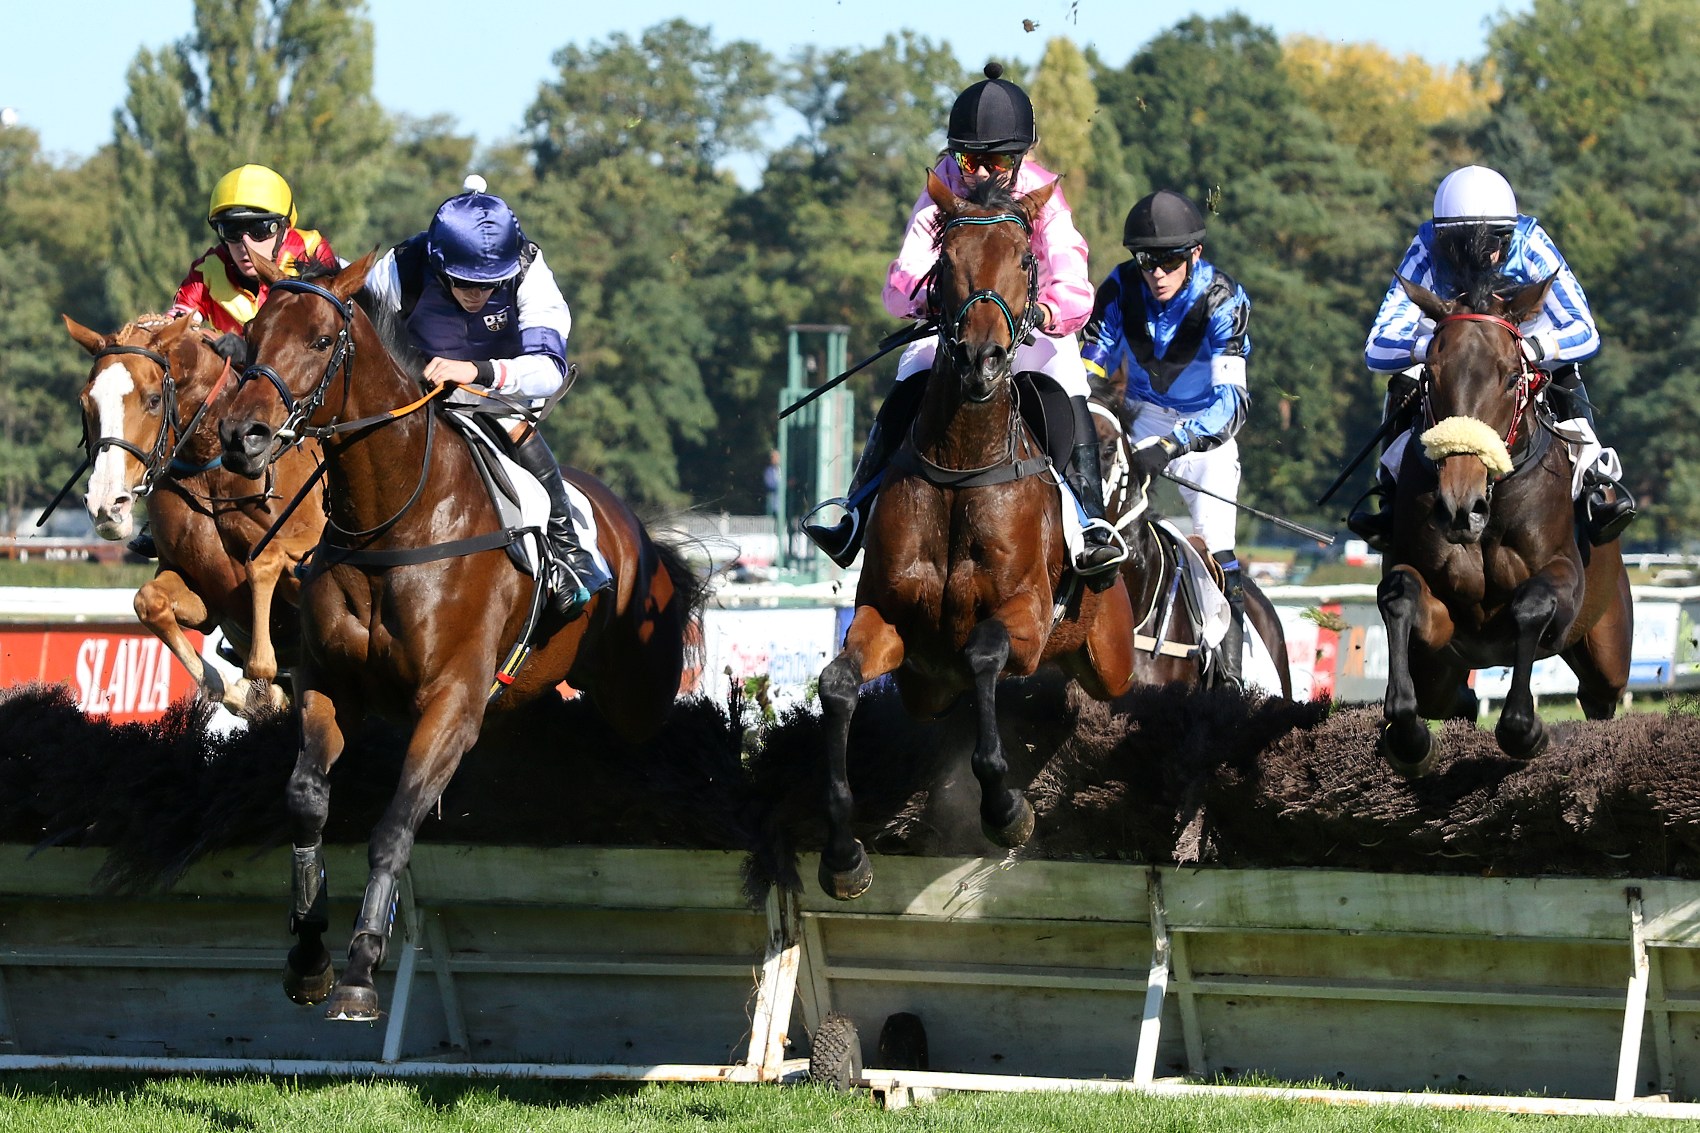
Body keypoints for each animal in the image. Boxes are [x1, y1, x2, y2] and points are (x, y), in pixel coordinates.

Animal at [62, 312, 326, 717]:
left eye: (154, 400)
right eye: (86, 403)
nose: (107, 504)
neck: (211, 465)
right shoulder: (209, 598)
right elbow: (149, 601)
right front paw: (228, 688)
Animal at [216, 253, 706, 1021]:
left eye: (323, 340)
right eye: (252, 337)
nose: (242, 437)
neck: (393, 521)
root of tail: (640, 535)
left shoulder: (452, 702)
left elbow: (393, 829)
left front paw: (361, 970)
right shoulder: (330, 687)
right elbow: (305, 802)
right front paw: (309, 954)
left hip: (635, 691)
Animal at [814, 172, 1142, 901]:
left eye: (1024, 260)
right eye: (945, 263)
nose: (980, 360)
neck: (962, 467)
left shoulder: (1026, 615)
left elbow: (987, 652)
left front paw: (1006, 808)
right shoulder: (889, 623)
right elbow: (838, 684)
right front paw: (843, 852)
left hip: (1110, 654)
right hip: (926, 688)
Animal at [1375, 275, 1632, 776]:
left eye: (1514, 377)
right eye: (1430, 375)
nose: (1461, 504)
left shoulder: (1564, 578)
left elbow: (1531, 606)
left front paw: (1528, 731)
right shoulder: (1443, 626)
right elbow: (1399, 595)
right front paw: (1409, 739)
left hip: (1608, 650)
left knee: (1599, 696)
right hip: (1440, 671)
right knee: (1454, 700)